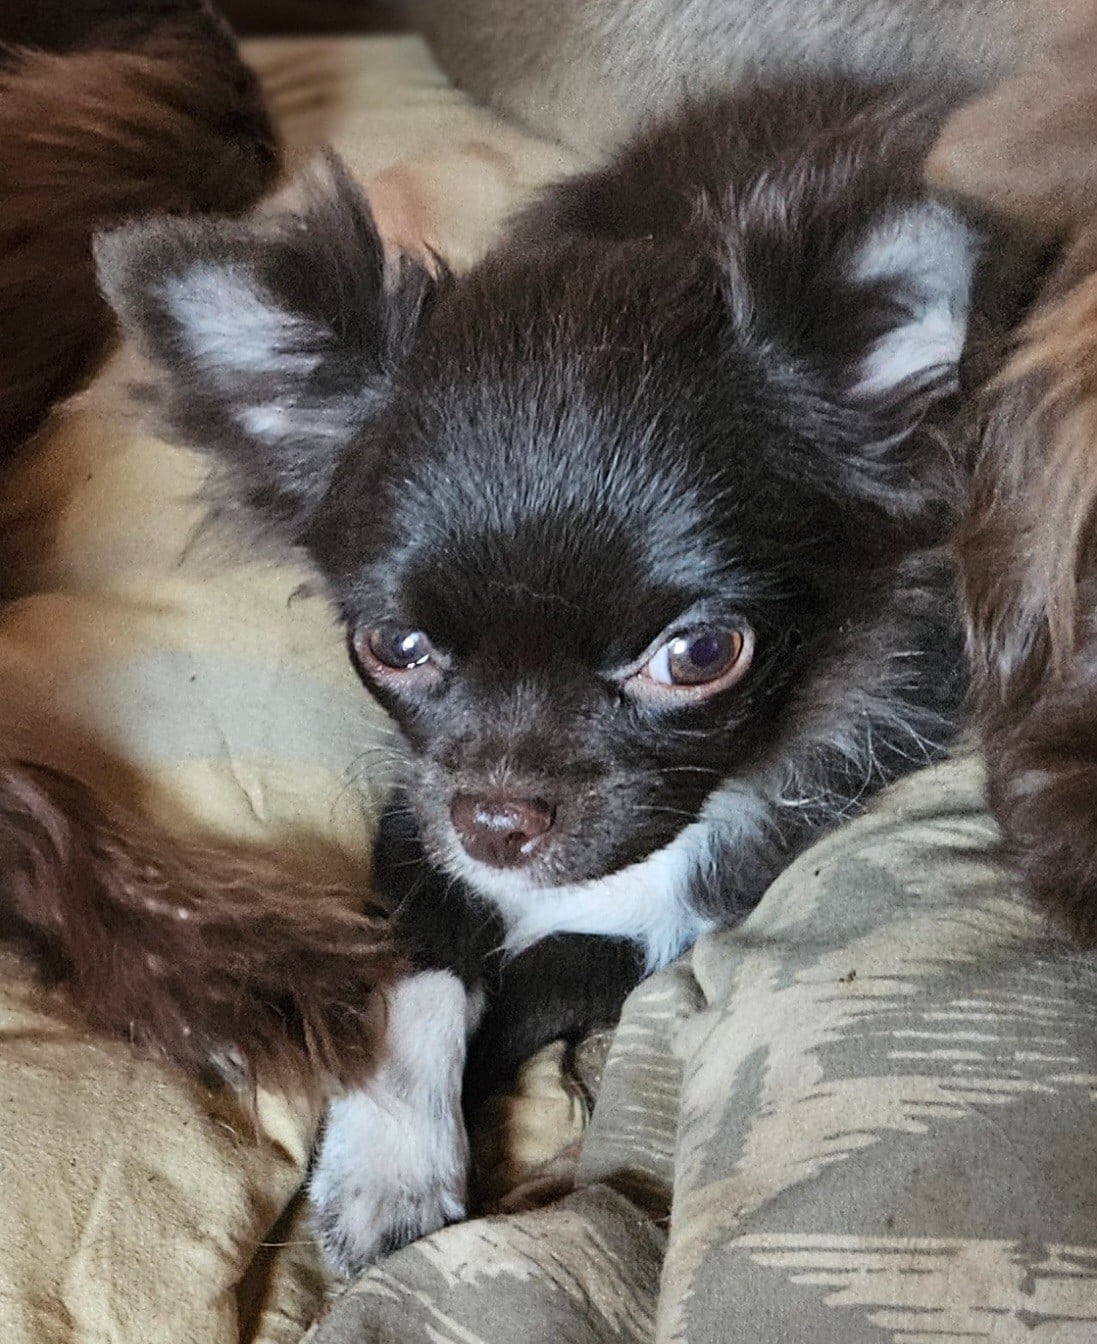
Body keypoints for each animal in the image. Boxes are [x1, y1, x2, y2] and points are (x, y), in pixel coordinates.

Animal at [97, 75, 1039, 1273]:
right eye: (393, 647)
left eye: (699, 655)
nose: (498, 821)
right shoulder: (419, 812)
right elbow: (417, 965)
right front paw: (389, 1164)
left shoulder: (706, 886)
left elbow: (553, 973)